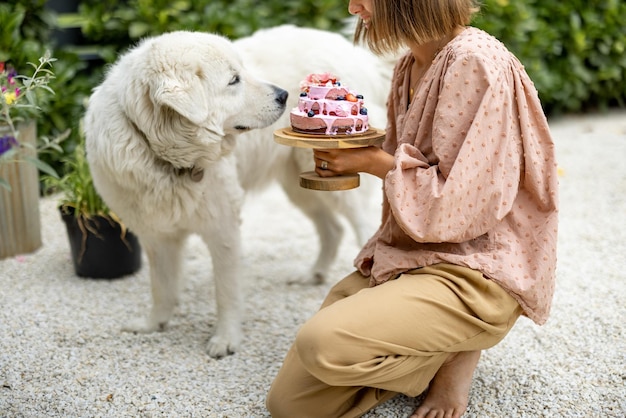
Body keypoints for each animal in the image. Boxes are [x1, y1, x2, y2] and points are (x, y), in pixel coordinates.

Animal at [85, 23, 392, 356]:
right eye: (234, 80)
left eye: (243, 71)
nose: (285, 95)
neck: (165, 156)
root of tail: (355, 53)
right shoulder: (156, 234)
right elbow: (161, 287)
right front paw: (154, 324)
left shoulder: (223, 228)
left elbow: (226, 292)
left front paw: (225, 339)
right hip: (302, 186)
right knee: (332, 229)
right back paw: (313, 274)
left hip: (339, 188)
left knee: (363, 228)